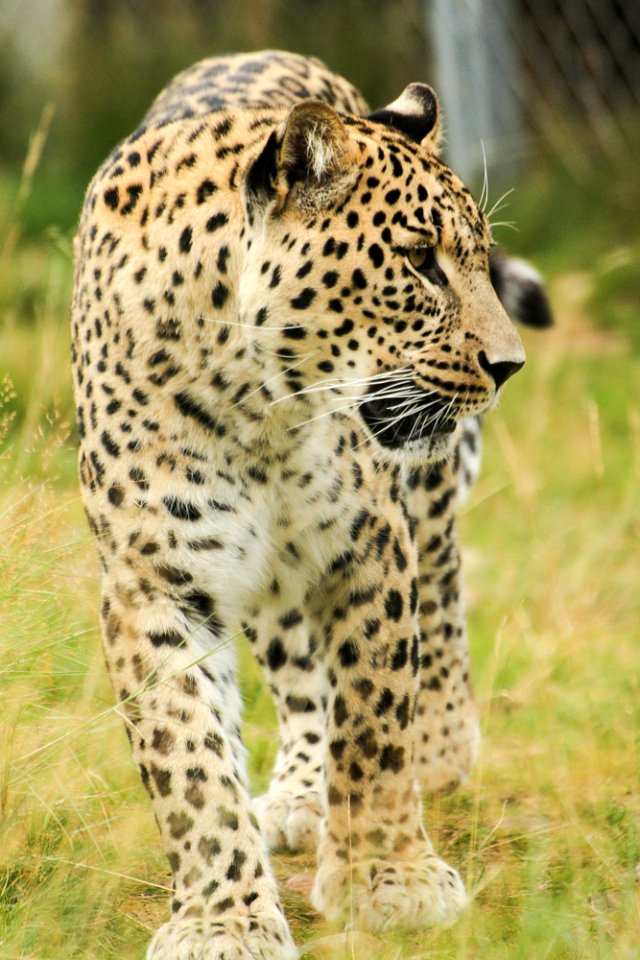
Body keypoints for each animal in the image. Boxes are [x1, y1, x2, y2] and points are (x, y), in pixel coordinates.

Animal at [70, 50, 552, 960]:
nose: (509, 366)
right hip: (271, 576)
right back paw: (299, 792)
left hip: (420, 509)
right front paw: (223, 919)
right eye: (421, 262)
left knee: (442, 595)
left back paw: (441, 747)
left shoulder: (370, 543)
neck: (255, 404)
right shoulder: (155, 580)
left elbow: (373, 715)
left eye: (476, 260)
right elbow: (189, 760)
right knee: (297, 677)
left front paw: (387, 878)